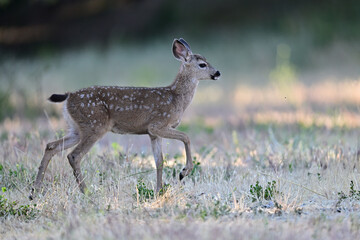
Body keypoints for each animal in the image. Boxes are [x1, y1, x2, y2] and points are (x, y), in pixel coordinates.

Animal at [28, 37, 219, 200]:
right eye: (202, 64)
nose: (217, 72)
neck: (176, 98)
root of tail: (68, 96)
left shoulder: (152, 133)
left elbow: (159, 161)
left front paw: (159, 191)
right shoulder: (158, 124)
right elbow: (186, 137)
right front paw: (183, 172)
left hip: (77, 128)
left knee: (51, 146)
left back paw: (34, 192)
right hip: (95, 125)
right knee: (74, 155)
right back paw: (87, 192)